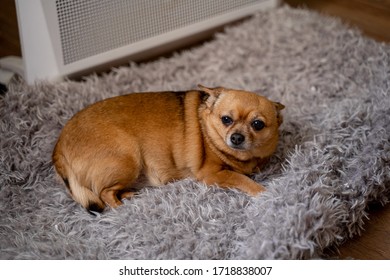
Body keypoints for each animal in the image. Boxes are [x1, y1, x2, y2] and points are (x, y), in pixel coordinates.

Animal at [51, 84, 284, 211]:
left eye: (257, 124)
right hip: (129, 158)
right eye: (226, 119)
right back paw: (123, 208)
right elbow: (242, 179)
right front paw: (264, 192)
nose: (236, 137)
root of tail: (59, 148)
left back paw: (127, 195)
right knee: (104, 194)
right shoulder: (212, 174)